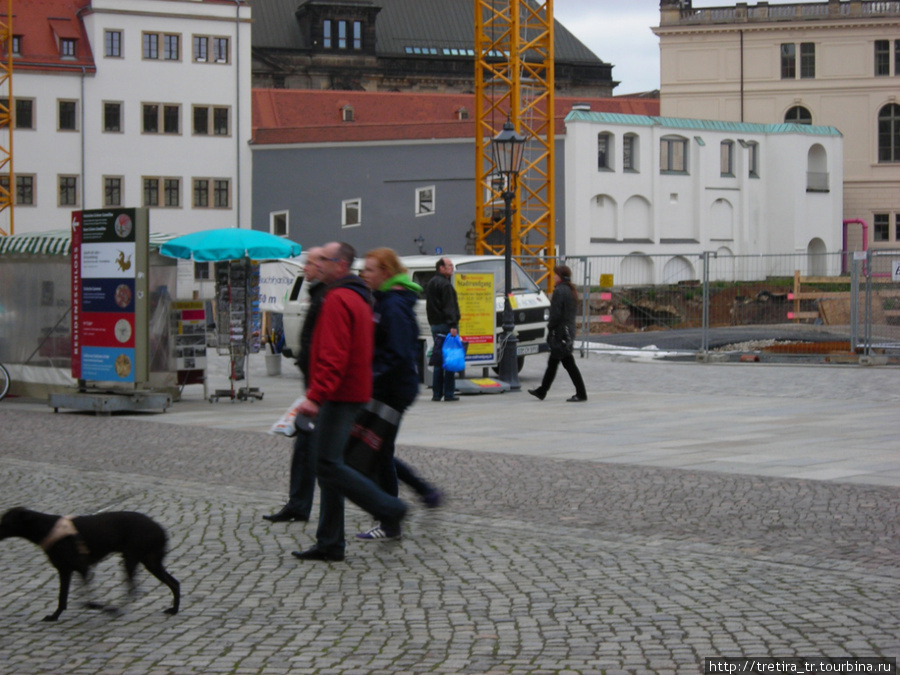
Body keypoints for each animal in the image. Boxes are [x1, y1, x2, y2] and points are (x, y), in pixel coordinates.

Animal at [0, 508, 181, 624]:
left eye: (5, 521)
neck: (46, 527)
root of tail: (160, 529)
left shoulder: (80, 568)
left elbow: (83, 599)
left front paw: (98, 607)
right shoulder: (67, 570)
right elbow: (63, 598)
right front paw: (55, 616)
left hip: (132, 559)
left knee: (133, 589)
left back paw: (114, 609)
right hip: (151, 562)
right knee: (174, 583)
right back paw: (174, 610)